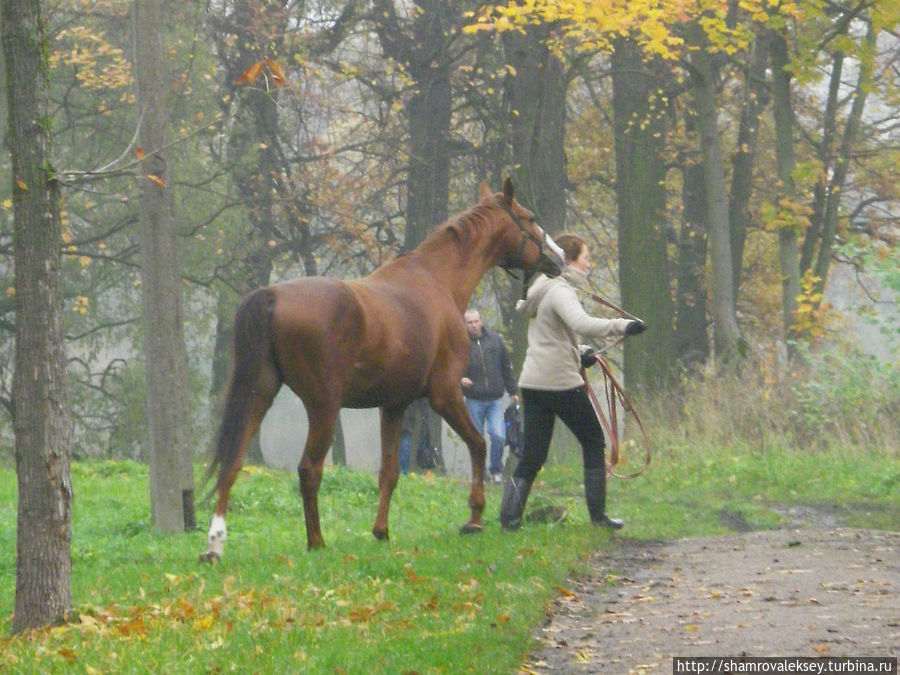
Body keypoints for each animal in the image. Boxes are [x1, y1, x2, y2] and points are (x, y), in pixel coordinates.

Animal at [202, 178, 564, 560]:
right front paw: (475, 517)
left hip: (260, 395)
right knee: (309, 470)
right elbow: (478, 445)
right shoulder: (446, 394)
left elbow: (389, 471)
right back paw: (316, 542)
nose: (558, 257)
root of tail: (272, 295)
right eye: (530, 217)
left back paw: (215, 542)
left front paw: (381, 530)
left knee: (232, 461)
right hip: (323, 406)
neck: (437, 280)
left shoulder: (394, 405)